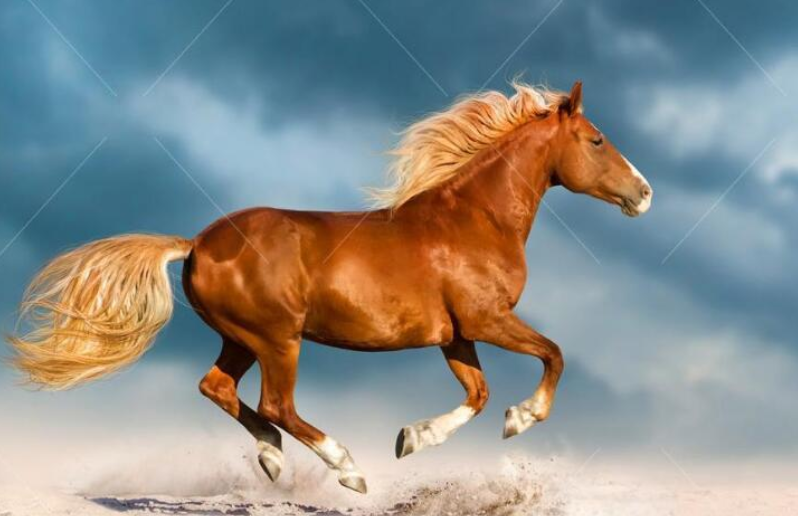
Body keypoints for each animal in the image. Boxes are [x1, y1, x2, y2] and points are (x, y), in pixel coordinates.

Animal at [8, 81, 651, 494]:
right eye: (597, 140)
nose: (643, 194)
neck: (475, 219)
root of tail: (196, 243)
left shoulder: (455, 335)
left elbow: (478, 394)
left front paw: (411, 437)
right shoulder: (486, 319)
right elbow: (553, 356)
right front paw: (522, 418)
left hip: (241, 338)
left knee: (218, 388)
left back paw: (271, 457)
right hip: (278, 339)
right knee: (277, 404)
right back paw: (346, 468)